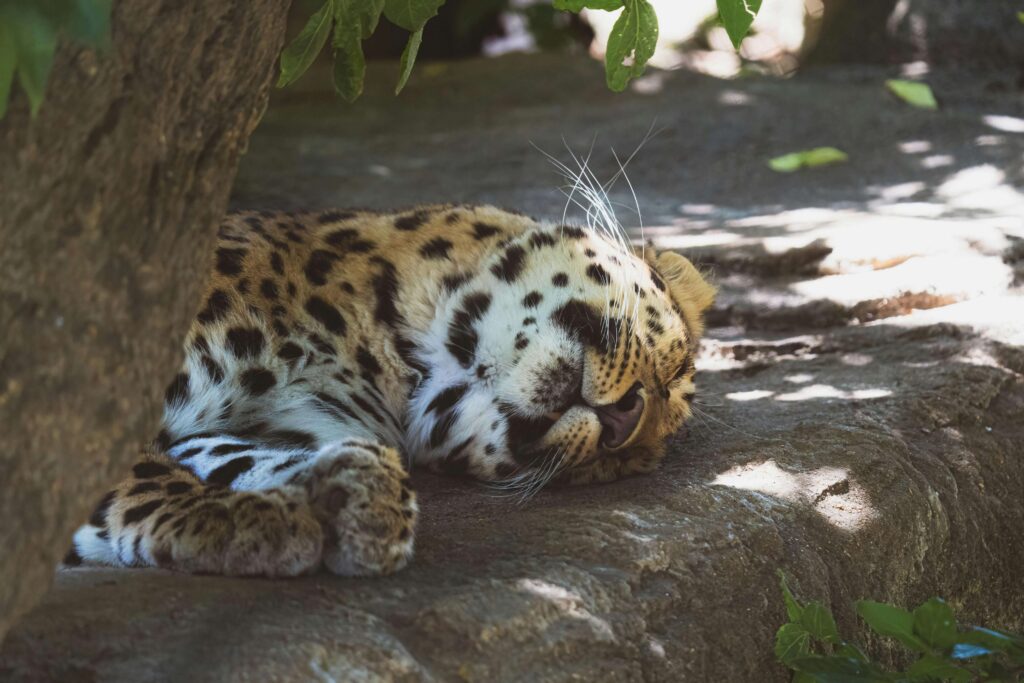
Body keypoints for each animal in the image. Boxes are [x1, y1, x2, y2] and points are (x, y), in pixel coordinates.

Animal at [61, 205, 712, 581]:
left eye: (613, 466)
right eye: (670, 366)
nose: (625, 423)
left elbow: (225, 453)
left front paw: (348, 495)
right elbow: (132, 472)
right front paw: (236, 517)